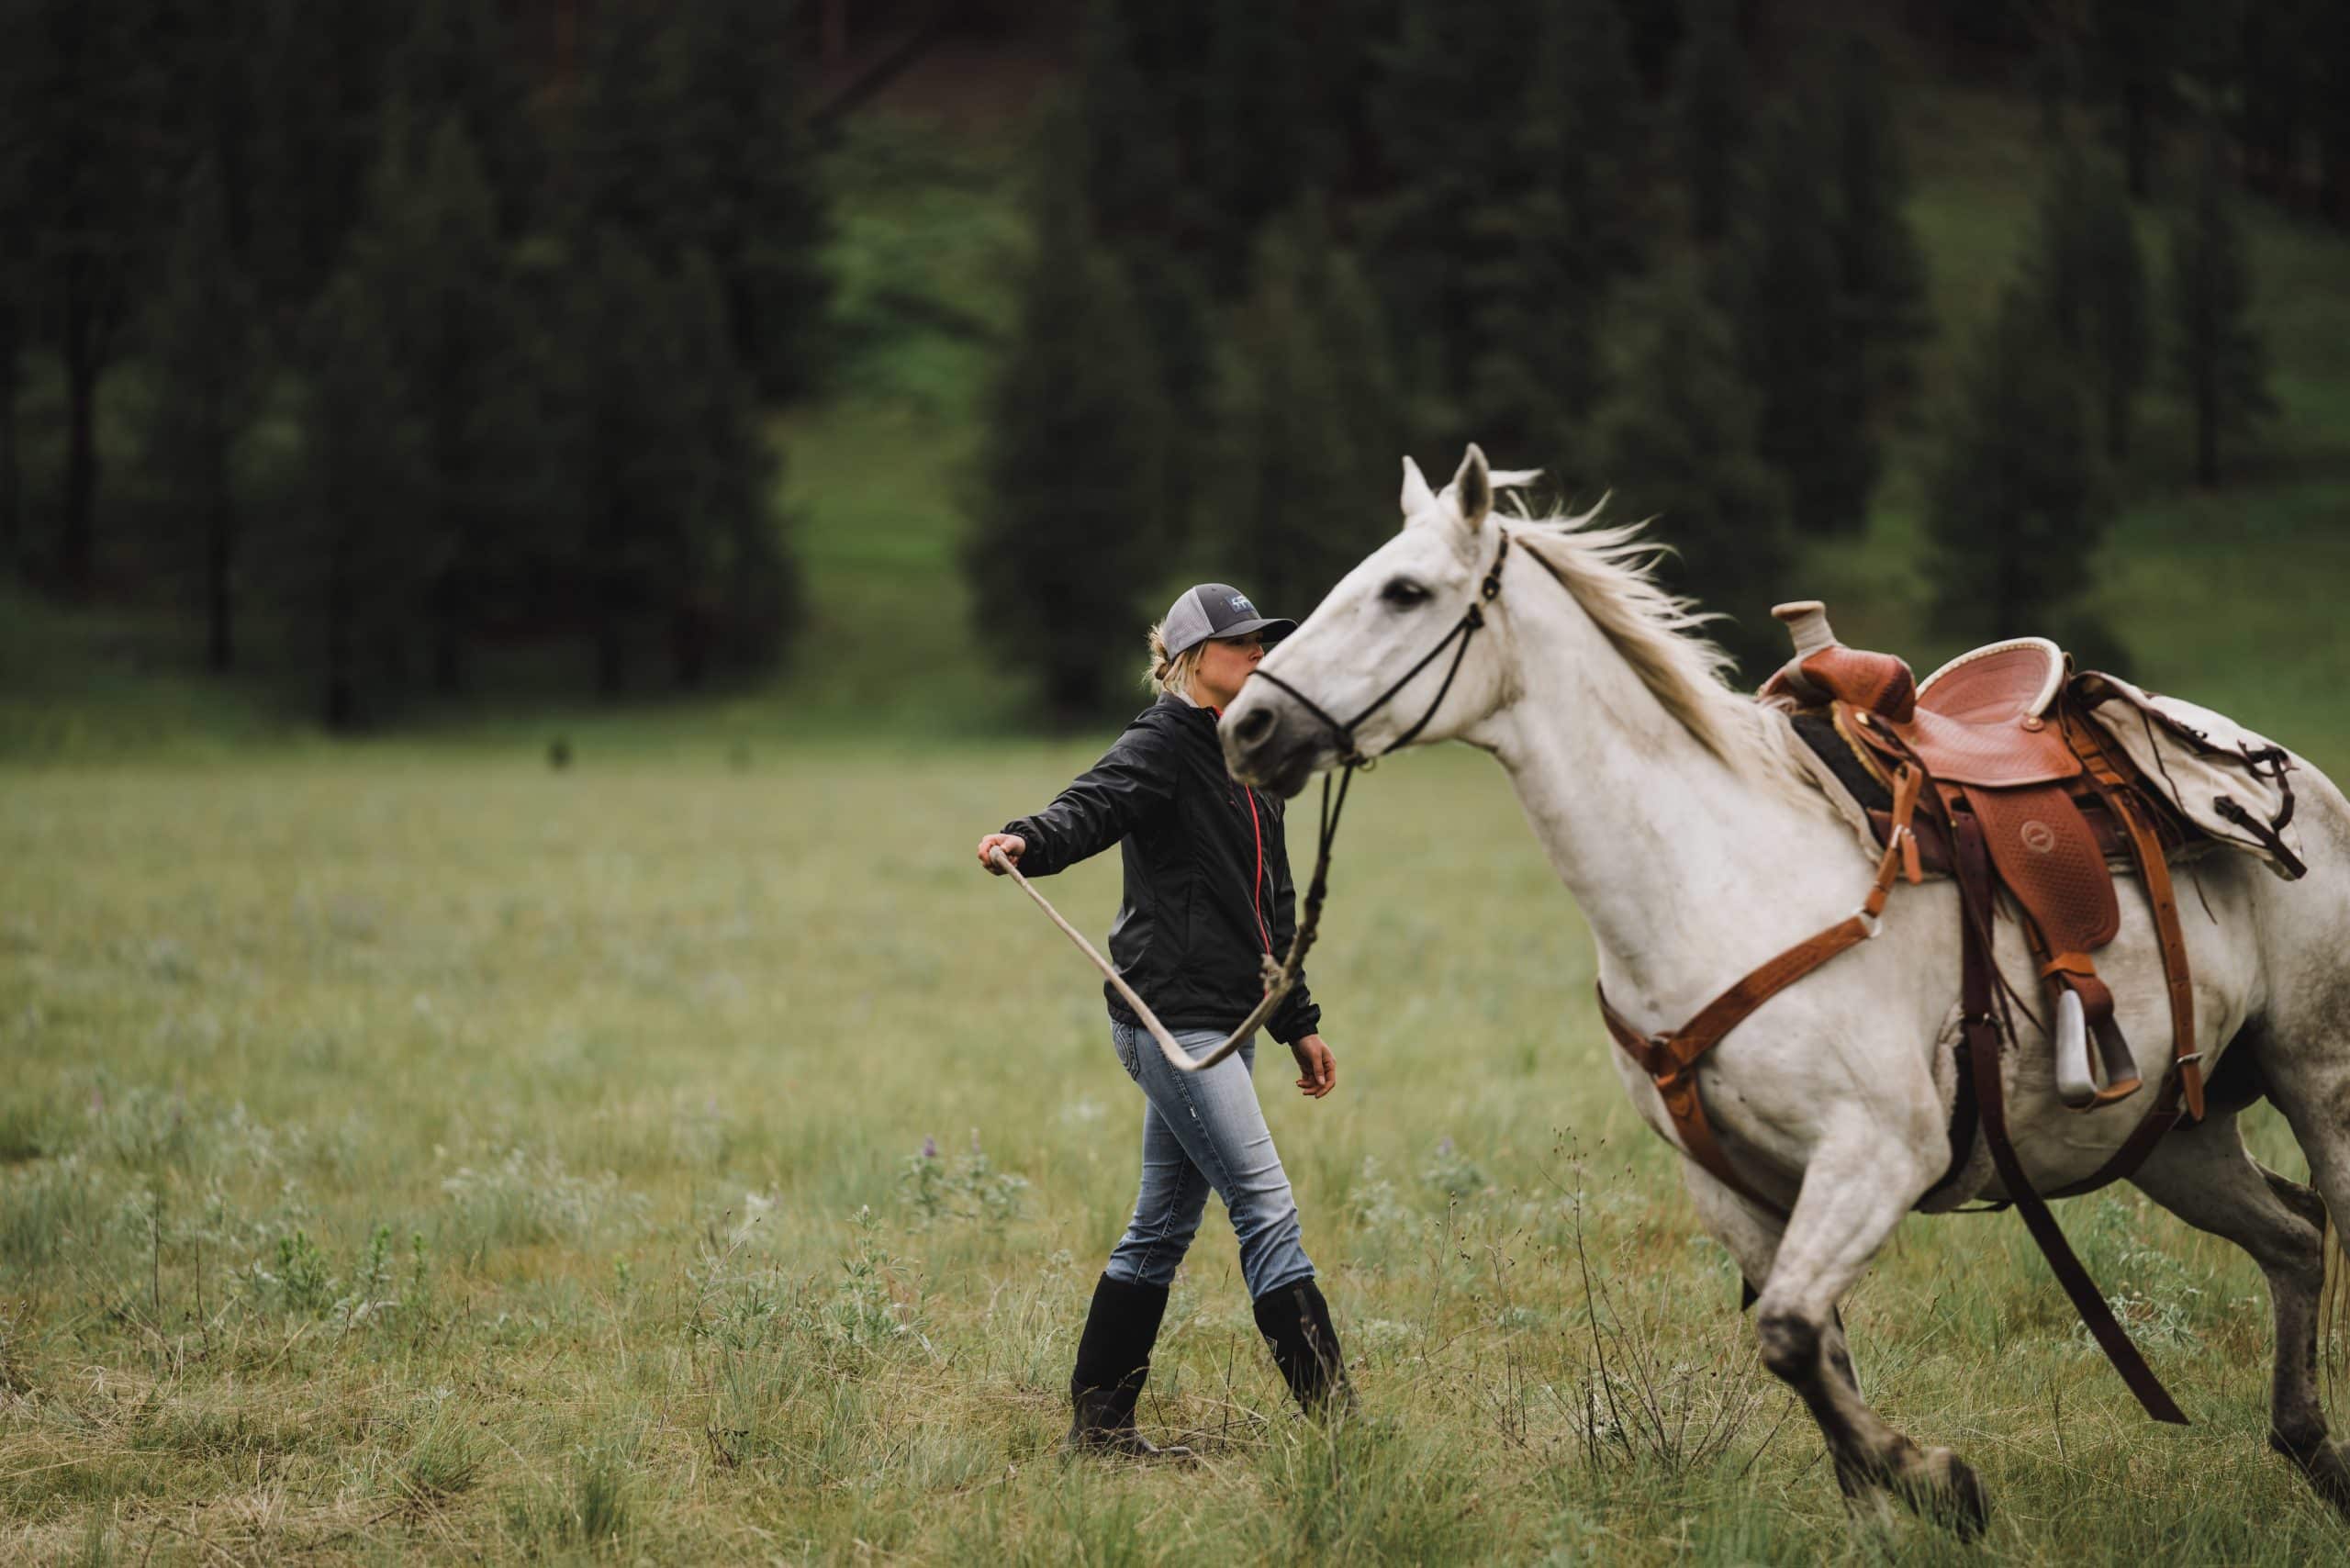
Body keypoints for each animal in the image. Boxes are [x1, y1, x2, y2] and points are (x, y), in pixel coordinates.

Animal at [1219, 444, 2350, 1534]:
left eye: (1404, 591)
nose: (1248, 726)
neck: (1717, 876)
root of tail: (2285, 769)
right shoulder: (1740, 1191)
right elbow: (1816, 1369)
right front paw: (1900, 1503)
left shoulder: (1878, 1152)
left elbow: (1791, 1335)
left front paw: (1944, 1484)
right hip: (2165, 1135)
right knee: (2294, 1239)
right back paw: (2309, 1450)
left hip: (2317, 1080)